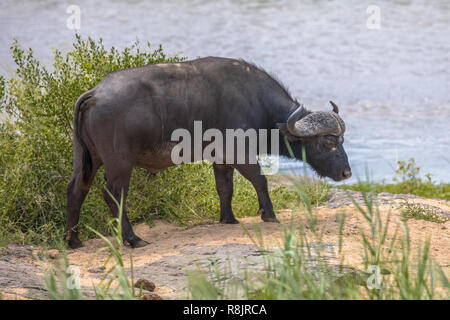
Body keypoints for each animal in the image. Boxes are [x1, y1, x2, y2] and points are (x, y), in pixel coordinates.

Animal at [65, 56, 352, 249]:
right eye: (327, 142)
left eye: (342, 139)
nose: (346, 172)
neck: (256, 101)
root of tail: (95, 93)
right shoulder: (240, 153)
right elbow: (260, 180)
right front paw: (269, 214)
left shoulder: (221, 159)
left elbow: (225, 188)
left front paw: (228, 218)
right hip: (120, 163)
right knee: (113, 195)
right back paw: (133, 239)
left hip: (86, 159)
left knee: (76, 189)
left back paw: (73, 240)